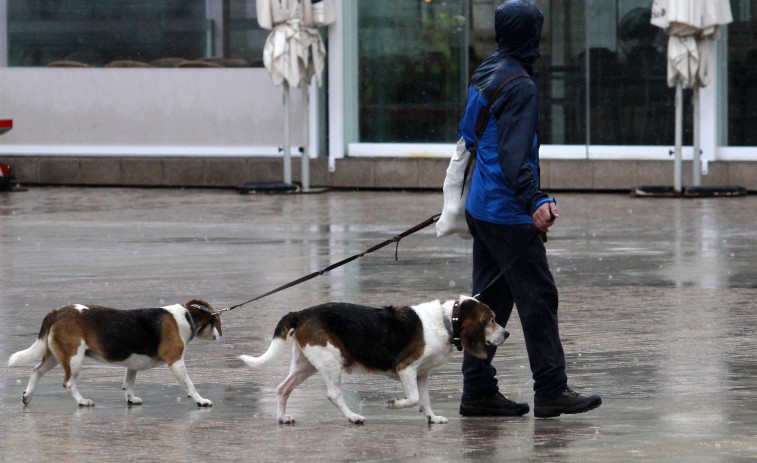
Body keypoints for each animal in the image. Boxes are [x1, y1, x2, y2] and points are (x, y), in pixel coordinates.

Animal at [8, 300, 221, 406]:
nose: (220, 335)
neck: (186, 317)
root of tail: (58, 312)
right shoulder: (176, 362)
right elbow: (190, 385)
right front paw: (201, 401)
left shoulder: (133, 363)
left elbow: (129, 383)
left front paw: (131, 398)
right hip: (73, 358)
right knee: (68, 383)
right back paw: (82, 401)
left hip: (56, 355)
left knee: (37, 371)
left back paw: (27, 396)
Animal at [239, 298, 504, 424]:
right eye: (490, 320)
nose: (507, 333)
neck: (447, 320)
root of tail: (301, 313)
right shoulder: (406, 369)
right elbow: (413, 398)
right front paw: (393, 404)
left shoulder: (421, 373)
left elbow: (425, 400)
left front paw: (432, 418)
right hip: (330, 361)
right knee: (333, 395)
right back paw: (353, 417)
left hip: (307, 365)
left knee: (282, 389)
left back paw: (282, 418)